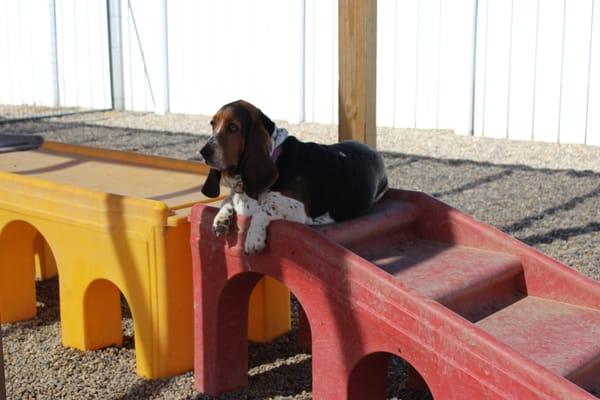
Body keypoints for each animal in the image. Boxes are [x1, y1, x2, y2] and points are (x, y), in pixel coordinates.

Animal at [199, 99, 390, 253]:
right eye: (212, 123)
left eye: (233, 127)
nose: (203, 152)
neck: (275, 156)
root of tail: (373, 151)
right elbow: (228, 199)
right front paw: (221, 219)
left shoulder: (295, 207)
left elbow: (263, 210)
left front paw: (254, 239)